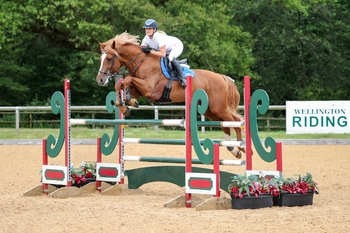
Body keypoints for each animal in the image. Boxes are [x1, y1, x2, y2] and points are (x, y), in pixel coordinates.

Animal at [94, 31, 245, 158]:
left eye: (109, 58)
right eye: (100, 59)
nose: (100, 80)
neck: (141, 62)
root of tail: (223, 77)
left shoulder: (149, 89)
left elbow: (128, 80)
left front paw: (128, 102)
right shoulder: (141, 90)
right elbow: (120, 85)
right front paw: (127, 105)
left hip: (218, 107)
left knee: (236, 121)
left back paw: (241, 146)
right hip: (211, 111)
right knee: (225, 124)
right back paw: (233, 149)